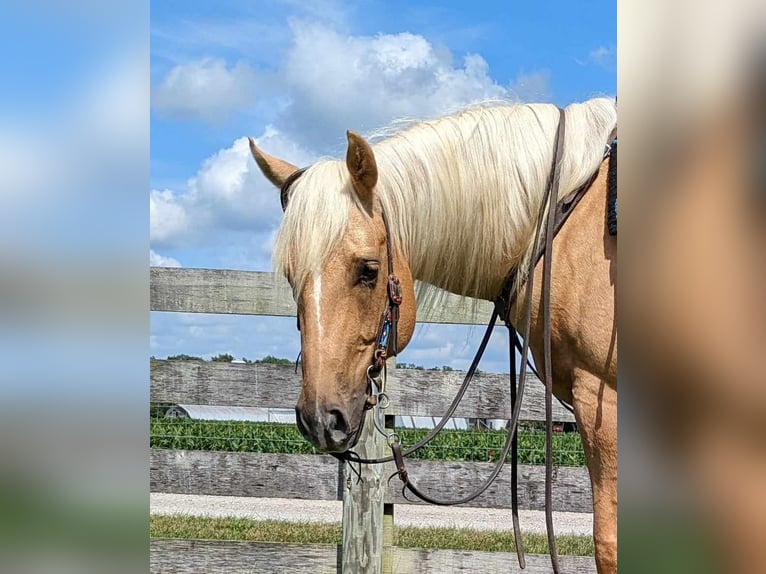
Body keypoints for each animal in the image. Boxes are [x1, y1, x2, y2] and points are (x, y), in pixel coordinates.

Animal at [250, 99, 616, 572]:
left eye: (368, 270)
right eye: (291, 277)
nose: (320, 419)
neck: (569, 221)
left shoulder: (604, 403)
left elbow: (608, 543)